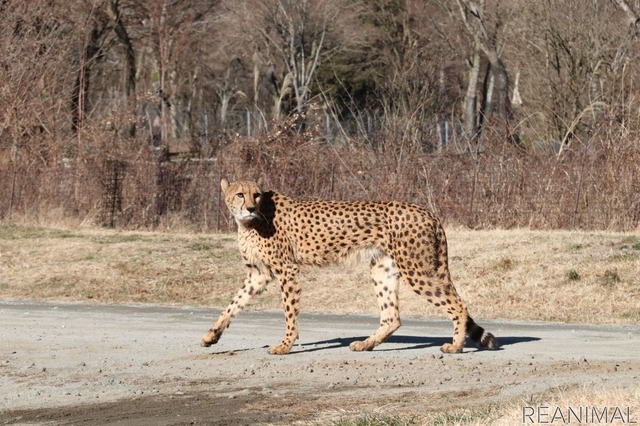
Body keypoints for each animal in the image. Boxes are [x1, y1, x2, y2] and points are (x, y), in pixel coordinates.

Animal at [198, 178, 498, 354]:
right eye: (240, 194)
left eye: (257, 195)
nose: (250, 207)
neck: (250, 222)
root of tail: (427, 211)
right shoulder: (259, 274)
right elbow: (233, 304)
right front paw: (212, 335)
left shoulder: (287, 270)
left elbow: (289, 313)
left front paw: (285, 345)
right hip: (382, 269)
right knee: (392, 316)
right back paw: (366, 344)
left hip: (417, 270)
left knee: (458, 305)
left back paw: (456, 346)